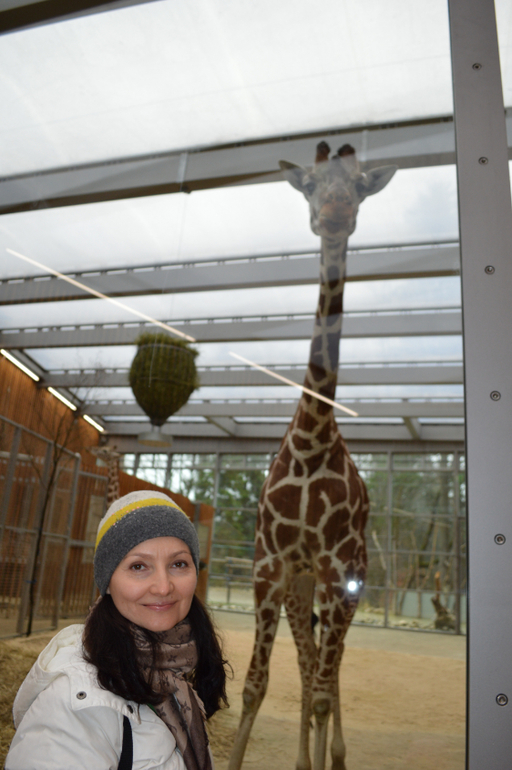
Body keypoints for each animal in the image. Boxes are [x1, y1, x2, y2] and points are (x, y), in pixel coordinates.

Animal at [228, 143, 397, 770]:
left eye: (360, 186)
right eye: (310, 184)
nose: (335, 213)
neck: (310, 439)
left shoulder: (334, 569)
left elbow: (324, 689)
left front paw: (327, 756)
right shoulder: (270, 568)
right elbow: (256, 685)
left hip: (348, 579)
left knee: (332, 669)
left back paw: (335, 755)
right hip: (304, 589)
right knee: (309, 664)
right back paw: (310, 757)